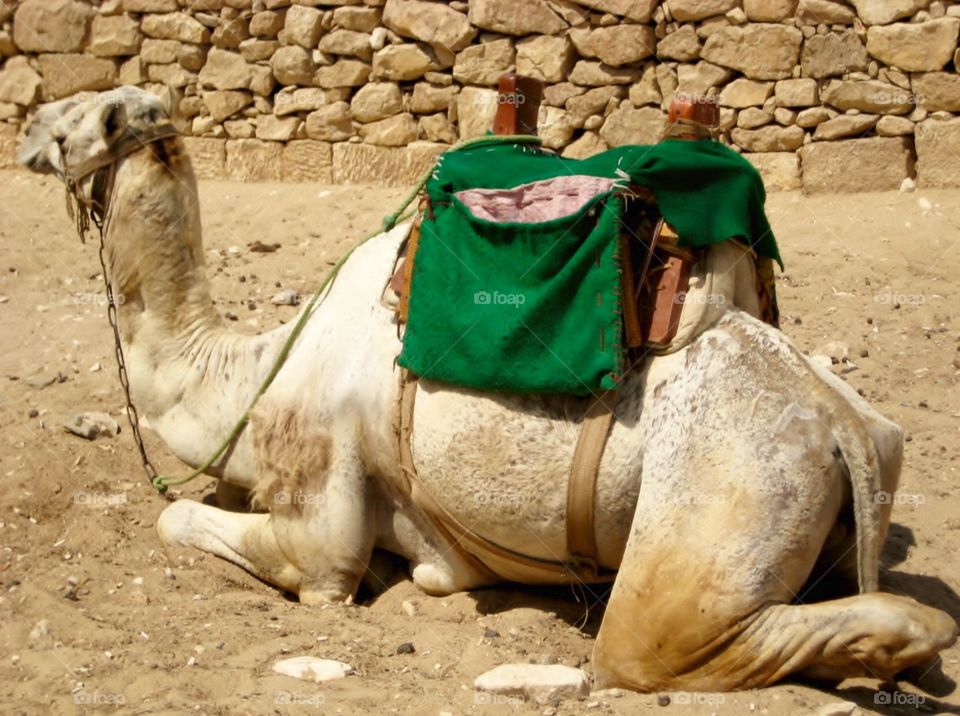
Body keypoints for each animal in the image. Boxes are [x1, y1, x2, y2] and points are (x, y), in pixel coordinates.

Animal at [16, 85, 960, 692]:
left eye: (75, 119)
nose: (24, 123)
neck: (245, 373)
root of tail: (839, 426)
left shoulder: (320, 528)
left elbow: (191, 522)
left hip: (729, 503)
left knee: (651, 649)